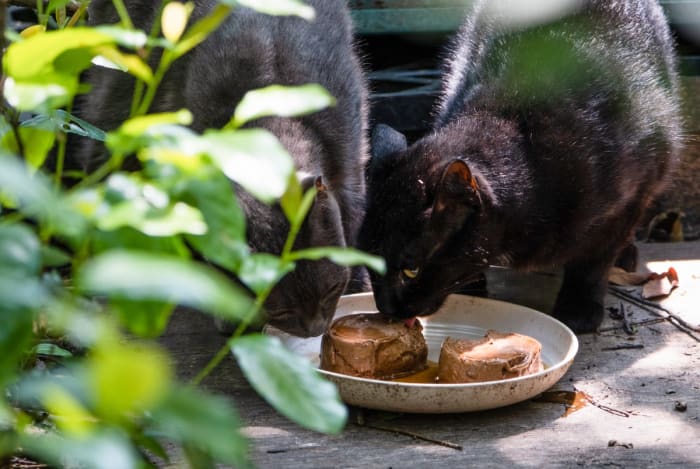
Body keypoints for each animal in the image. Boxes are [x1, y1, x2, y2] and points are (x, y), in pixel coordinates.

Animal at [71, 0, 370, 336]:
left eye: (332, 290)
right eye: (281, 311)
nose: (315, 328)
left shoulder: (351, 165)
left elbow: (353, 222)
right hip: (119, 93)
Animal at [360, 0, 684, 332]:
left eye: (411, 270)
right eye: (367, 260)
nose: (385, 307)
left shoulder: (628, 199)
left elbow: (594, 260)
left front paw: (580, 307)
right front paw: (473, 287)